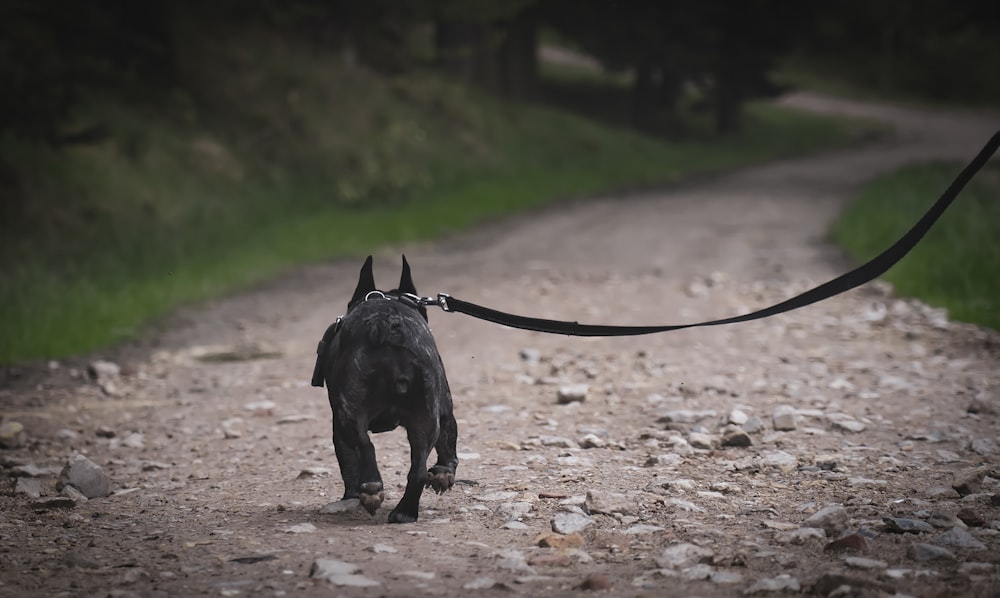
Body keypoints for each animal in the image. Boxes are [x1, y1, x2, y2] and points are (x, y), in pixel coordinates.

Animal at [310, 258, 458, 524]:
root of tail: (387, 325)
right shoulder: (443, 410)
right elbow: (448, 446)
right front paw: (443, 474)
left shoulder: (338, 428)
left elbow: (348, 465)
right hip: (424, 416)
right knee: (418, 468)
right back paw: (403, 512)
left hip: (351, 413)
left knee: (365, 445)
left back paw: (372, 488)